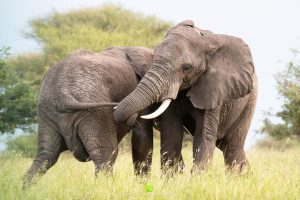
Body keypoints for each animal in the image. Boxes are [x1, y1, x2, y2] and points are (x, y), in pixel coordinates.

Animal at [23, 46, 155, 187]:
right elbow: (142, 136)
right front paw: (143, 186)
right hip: (94, 112)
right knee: (105, 155)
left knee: (45, 156)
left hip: (47, 113)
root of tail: (63, 97)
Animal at [115, 19, 258, 174]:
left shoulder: (213, 90)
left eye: (187, 68)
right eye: (154, 58)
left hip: (248, 104)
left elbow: (203, 137)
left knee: (232, 147)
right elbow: (171, 134)